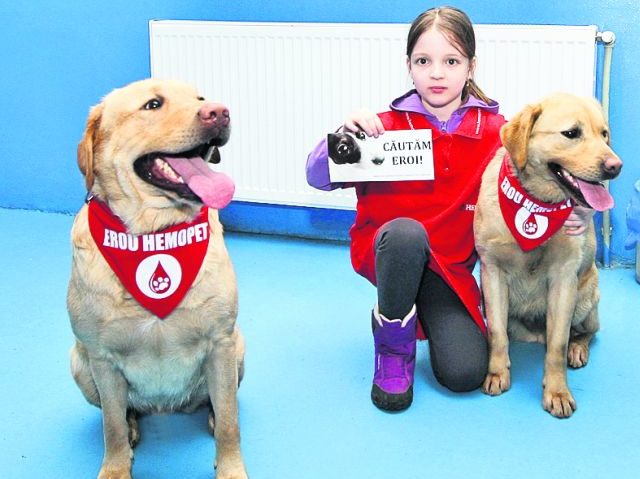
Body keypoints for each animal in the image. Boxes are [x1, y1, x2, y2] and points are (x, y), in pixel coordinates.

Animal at [67, 79, 248, 479]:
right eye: (152, 104)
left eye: (200, 99)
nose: (221, 112)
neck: (155, 233)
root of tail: (166, 407)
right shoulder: (101, 358)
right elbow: (112, 427)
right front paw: (116, 468)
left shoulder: (221, 343)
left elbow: (230, 423)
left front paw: (230, 467)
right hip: (79, 363)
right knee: (120, 413)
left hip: (238, 350)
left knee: (219, 405)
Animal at [476, 92, 620, 418]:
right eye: (571, 133)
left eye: (604, 134)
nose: (615, 166)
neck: (535, 203)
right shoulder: (492, 273)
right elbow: (497, 334)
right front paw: (496, 373)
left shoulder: (563, 280)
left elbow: (556, 346)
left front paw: (557, 391)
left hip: (586, 298)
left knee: (587, 333)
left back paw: (577, 348)